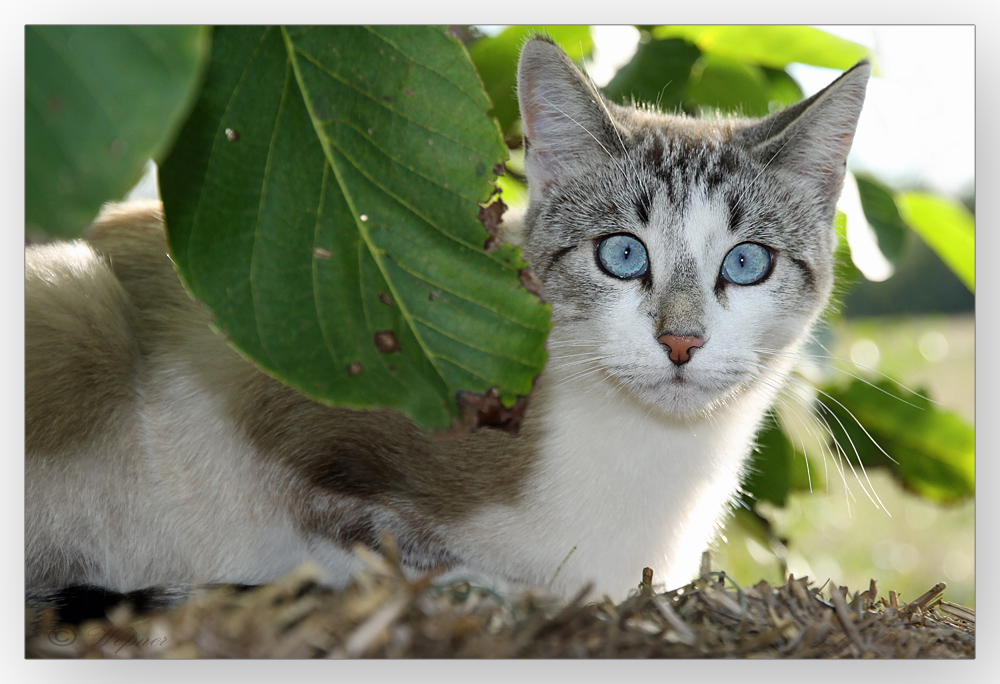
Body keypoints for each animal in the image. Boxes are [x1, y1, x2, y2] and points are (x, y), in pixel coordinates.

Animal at [21, 37, 868, 604]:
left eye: (746, 263)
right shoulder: (308, 388)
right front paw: (489, 587)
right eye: (623, 254)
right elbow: (385, 541)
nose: (681, 341)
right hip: (75, 296)